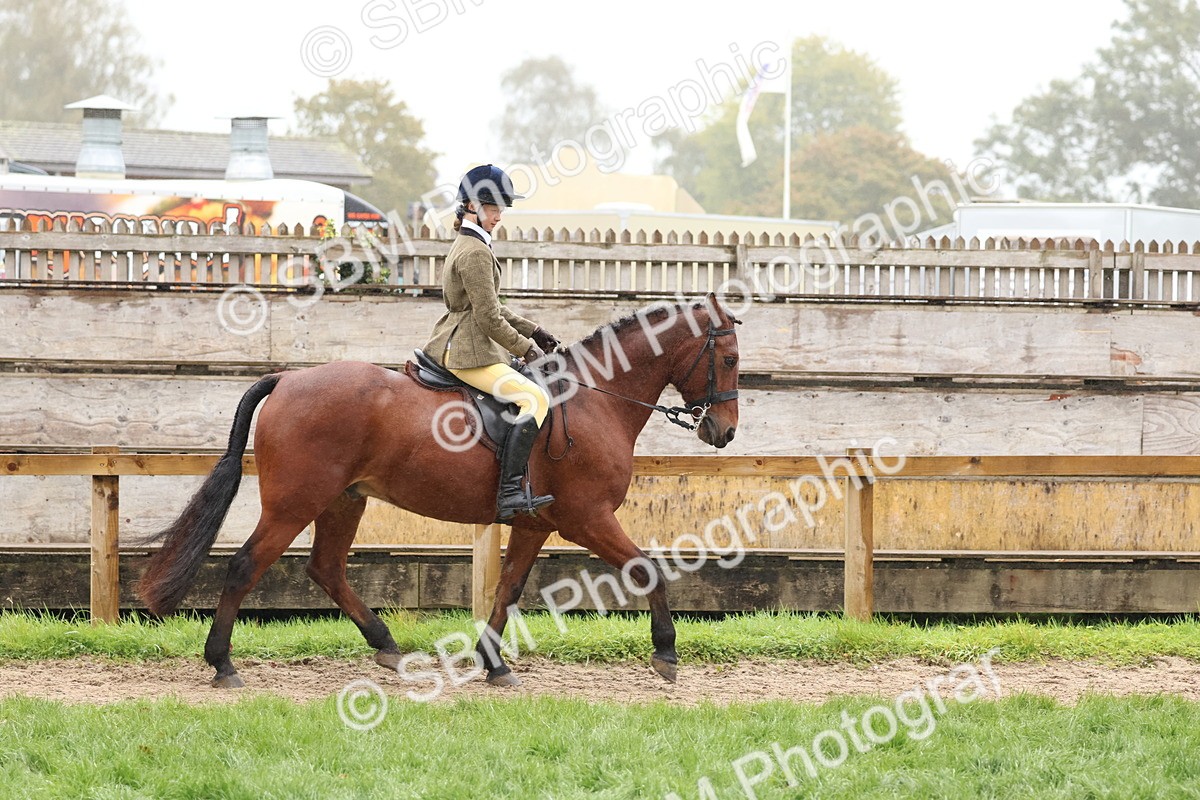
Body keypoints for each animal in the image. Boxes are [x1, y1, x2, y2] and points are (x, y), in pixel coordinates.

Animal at [136, 294, 742, 688]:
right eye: (731, 358)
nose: (724, 432)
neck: (595, 398)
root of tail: (286, 378)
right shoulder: (586, 518)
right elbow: (647, 568)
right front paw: (666, 652)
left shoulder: (536, 524)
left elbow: (508, 589)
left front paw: (494, 665)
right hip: (295, 502)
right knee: (246, 565)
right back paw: (222, 664)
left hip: (344, 500)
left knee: (327, 568)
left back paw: (387, 648)